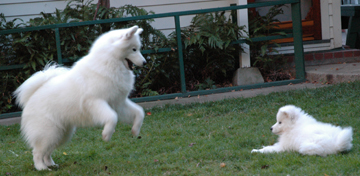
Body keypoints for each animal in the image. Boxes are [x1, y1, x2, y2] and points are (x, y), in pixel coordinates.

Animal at [14, 25, 146, 170]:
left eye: (138, 48)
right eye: (134, 49)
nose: (145, 62)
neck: (109, 62)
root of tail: (32, 96)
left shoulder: (118, 104)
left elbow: (139, 112)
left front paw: (135, 131)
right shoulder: (96, 102)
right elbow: (112, 117)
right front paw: (106, 135)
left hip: (61, 134)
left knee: (47, 152)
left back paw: (51, 164)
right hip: (48, 132)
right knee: (37, 152)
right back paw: (41, 168)